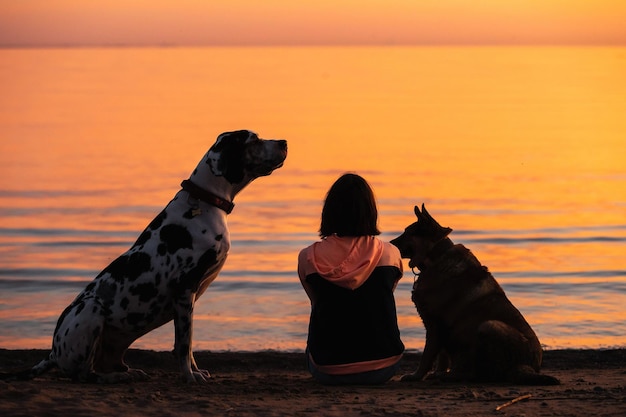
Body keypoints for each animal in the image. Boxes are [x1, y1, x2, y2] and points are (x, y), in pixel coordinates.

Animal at [10, 131, 288, 384]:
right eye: (253, 139)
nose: (284, 142)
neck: (205, 201)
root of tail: (53, 354)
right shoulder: (185, 289)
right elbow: (184, 344)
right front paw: (190, 376)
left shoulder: (189, 297)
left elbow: (187, 344)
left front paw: (196, 371)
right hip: (90, 309)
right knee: (86, 375)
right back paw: (118, 377)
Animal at [388, 205, 560, 384]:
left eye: (408, 232)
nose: (389, 244)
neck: (437, 257)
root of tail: (526, 367)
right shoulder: (441, 329)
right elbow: (442, 357)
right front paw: (436, 372)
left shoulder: (435, 325)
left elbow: (427, 355)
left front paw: (416, 376)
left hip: (488, 326)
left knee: (481, 374)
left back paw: (452, 376)